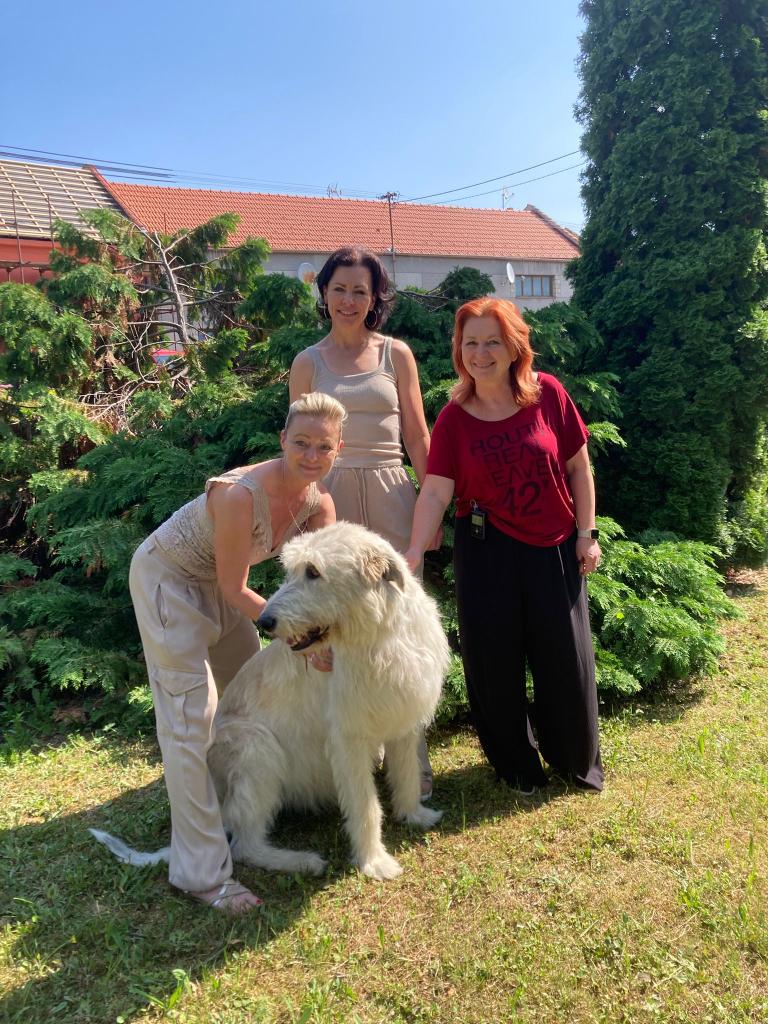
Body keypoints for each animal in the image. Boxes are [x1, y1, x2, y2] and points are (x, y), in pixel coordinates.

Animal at [92, 522, 449, 882]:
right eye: (291, 570)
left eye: (313, 572)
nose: (265, 622)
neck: (379, 637)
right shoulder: (348, 741)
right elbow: (365, 805)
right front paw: (374, 862)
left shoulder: (403, 723)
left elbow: (406, 773)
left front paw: (413, 814)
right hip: (257, 750)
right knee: (244, 846)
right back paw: (299, 861)